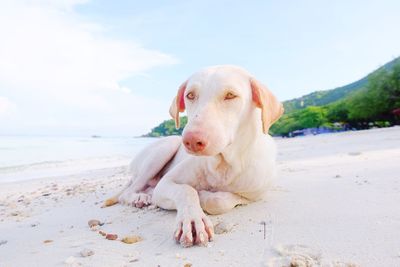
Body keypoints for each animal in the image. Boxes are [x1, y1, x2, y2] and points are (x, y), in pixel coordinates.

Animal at [103, 64, 284, 247]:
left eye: (230, 95)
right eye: (190, 95)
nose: (191, 140)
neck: (223, 164)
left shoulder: (256, 194)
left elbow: (219, 201)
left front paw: (205, 196)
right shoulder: (165, 184)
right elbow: (186, 190)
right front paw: (193, 219)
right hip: (165, 148)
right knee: (128, 191)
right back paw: (139, 197)